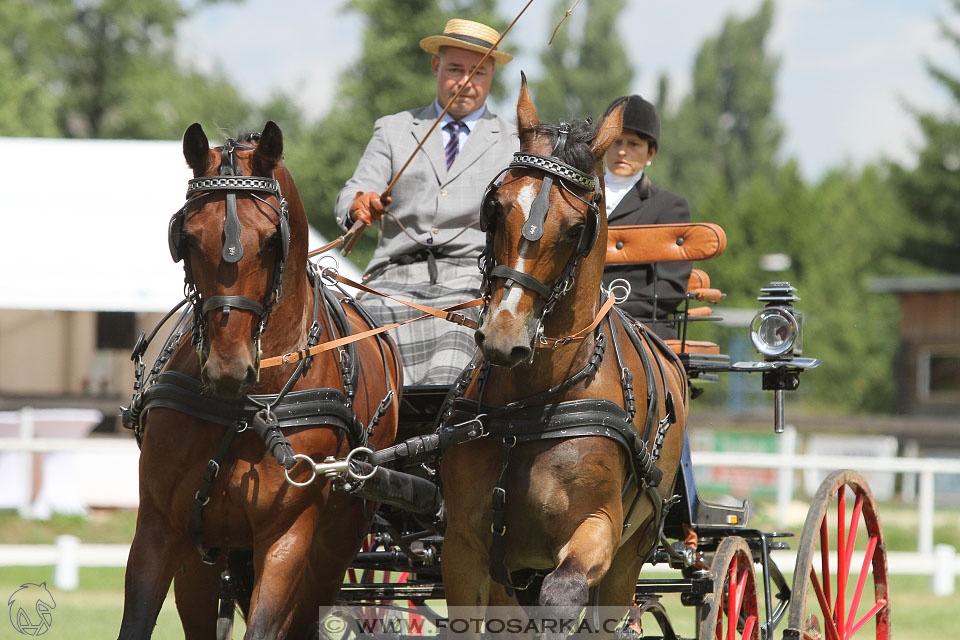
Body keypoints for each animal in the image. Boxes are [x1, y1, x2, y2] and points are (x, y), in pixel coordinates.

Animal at [118, 121, 400, 640]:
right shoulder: (163, 529)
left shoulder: (287, 536)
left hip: (334, 547)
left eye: (272, 240)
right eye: (187, 238)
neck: (246, 408)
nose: (228, 368)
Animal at [438, 77, 688, 632]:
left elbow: (562, 596)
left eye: (576, 229)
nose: (504, 336)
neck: (530, 408)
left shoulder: (598, 529)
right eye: (495, 208)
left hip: (631, 553)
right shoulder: (465, 547)